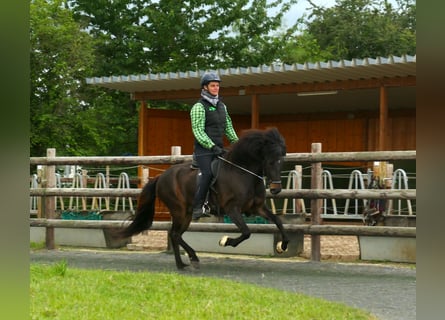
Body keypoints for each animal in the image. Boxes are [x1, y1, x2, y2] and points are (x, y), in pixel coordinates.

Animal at [119, 126, 288, 268]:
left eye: (281, 161)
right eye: (270, 161)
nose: (276, 189)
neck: (242, 173)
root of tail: (161, 177)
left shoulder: (257, 208)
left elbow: (278, 221)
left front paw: (283, 245)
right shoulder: (232, 209)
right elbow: (246, 232)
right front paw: (225, 241)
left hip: (186, 214)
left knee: (176, 235)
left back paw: (189, 259)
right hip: (179, 211)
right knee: (174, 234)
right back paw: (184, 263)